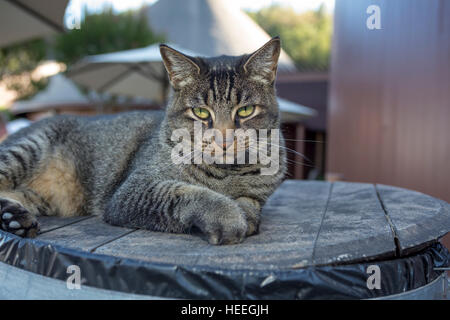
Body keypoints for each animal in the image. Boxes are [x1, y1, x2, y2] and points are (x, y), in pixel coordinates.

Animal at [0, 37, 286, 245]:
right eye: (201, 112)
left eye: (245, 111)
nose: (224, 140)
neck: (226, 174)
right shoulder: (133, 191)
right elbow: (189, 193)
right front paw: (228, 217)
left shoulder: (258, 195)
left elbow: (251, 203)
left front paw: (246, 215)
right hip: (27, 149)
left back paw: (14, 218)